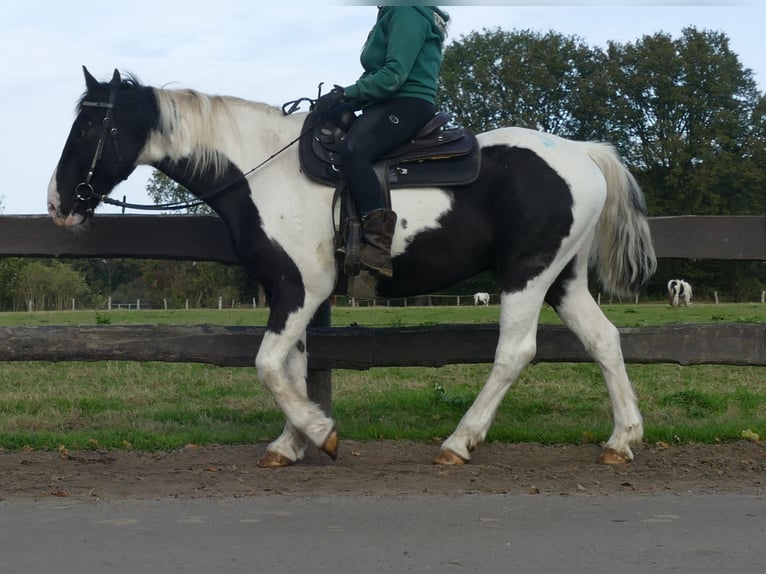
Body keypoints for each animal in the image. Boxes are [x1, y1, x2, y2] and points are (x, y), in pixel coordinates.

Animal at [49, 70, 660, 470]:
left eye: (87, 131)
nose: (58, 203)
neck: (261, 172)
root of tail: (581, 151)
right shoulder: (289, 291)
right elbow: (293, 366)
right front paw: (291, 442)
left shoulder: (301, 287)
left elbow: (268, 364)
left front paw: (321, 433)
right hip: (563, 278)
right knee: (604, 340)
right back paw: (622, 438)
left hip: (526, 274)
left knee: (515, 352)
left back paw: (460, 442)